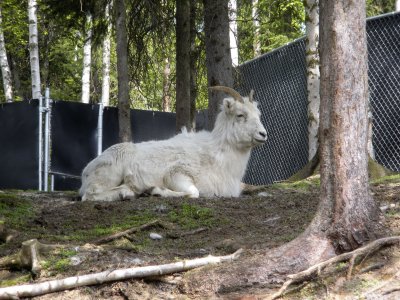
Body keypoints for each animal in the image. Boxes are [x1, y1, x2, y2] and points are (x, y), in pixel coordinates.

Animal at [79, 85, 268, 200]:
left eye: (258, 114)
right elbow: (193, 193)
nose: (263, 134)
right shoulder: (177, 174)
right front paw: (154, 190)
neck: (217, 156)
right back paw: (127, 193)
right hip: (109, 175)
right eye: (240, 115)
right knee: (90, 195)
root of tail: (86, 171)